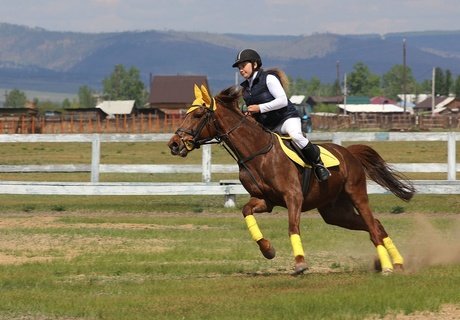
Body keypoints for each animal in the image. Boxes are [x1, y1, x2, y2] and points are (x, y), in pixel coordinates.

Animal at [167, 84, 416, 276]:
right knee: (376, 225)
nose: (174, 144)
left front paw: (300, 263)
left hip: (356, 195)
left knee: (373, 227)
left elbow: (292, 227)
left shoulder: (293, 196)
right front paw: (268, 250)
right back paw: (398, 263)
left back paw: (388, 266)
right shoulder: (264, 200)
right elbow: (246, 212)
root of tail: (350, 153)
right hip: (335, 212)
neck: (258, 152)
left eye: (198, 115)